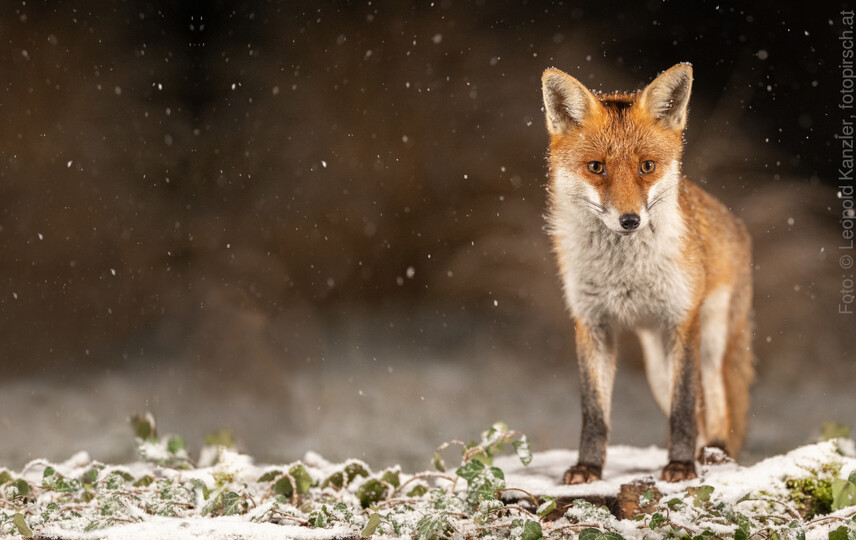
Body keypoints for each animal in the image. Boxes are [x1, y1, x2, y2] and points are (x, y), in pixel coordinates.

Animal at [540, 63, 754, 483]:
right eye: (596, 167)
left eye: (647, 166)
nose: (630, 220)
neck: (624, 275)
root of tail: (736, 223)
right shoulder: (591, 323)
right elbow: (595, 411)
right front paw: (589, 467)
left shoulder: (683, 319)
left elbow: (684, 405)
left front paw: (681, 465)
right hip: (656, 367)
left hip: (711, 343)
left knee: (715, 405)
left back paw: (714, 454)